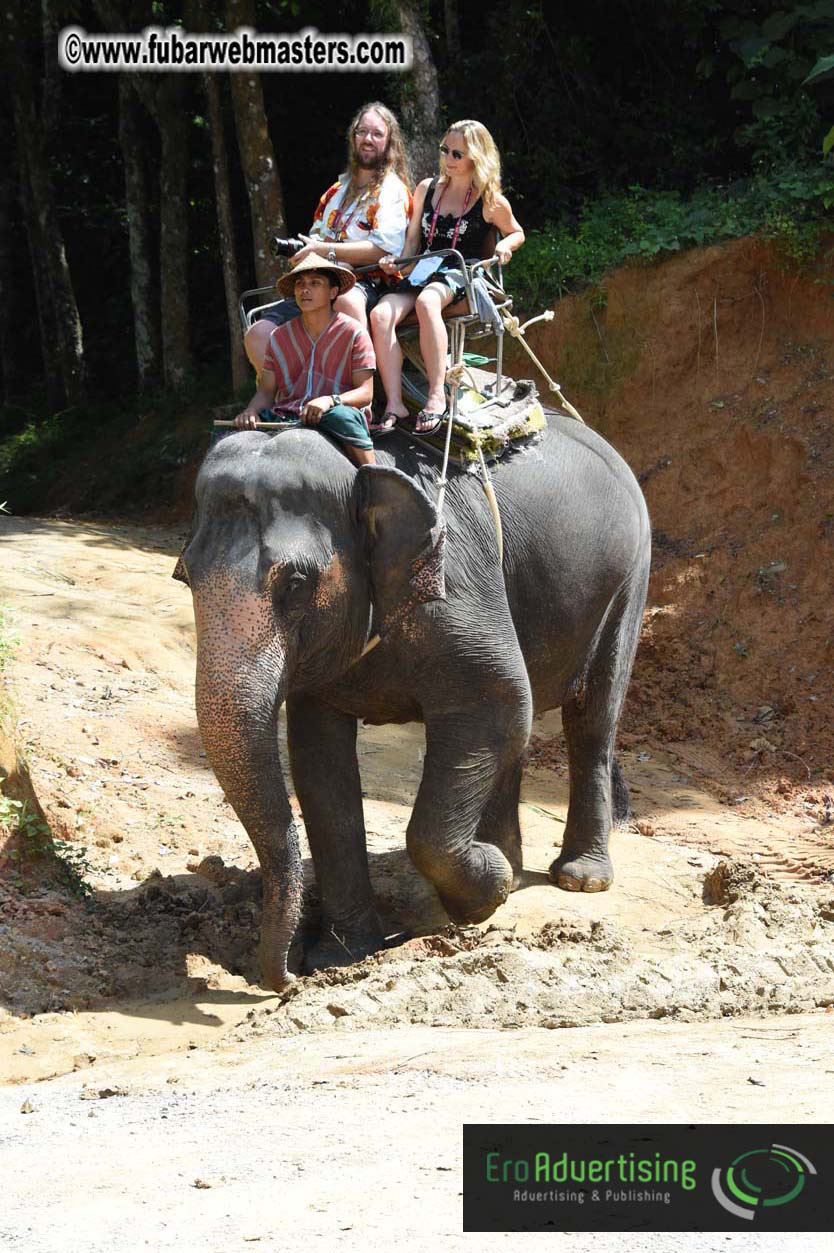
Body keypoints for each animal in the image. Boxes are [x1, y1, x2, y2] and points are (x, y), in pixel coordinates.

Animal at [176, 415, 650, 991]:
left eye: (296, 583)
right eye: (184, 576)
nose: (282, 977)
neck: (359, 471)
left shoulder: (458, 587)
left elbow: (497, 700)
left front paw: (482, 894)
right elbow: (319, 763)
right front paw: (340, 959)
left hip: (630, 580)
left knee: (590, 721)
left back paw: (579, 879)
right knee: (522, 731)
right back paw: (513, 867)